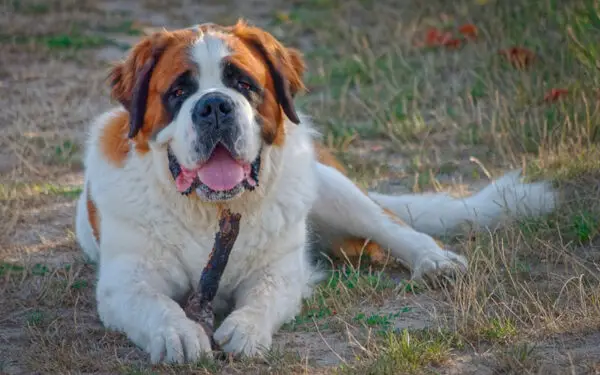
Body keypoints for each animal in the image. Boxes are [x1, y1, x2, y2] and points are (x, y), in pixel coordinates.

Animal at [75, 19, 556, 364]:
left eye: (244, 84)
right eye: (179, 90)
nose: (214, 105)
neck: (209, 212)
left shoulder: (282, 269)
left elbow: (266, 293)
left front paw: (246, 330)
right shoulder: (125, 281)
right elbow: (154, 304)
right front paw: (177, 333)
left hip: (331, 186)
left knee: (391, 224)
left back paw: (434, 260)